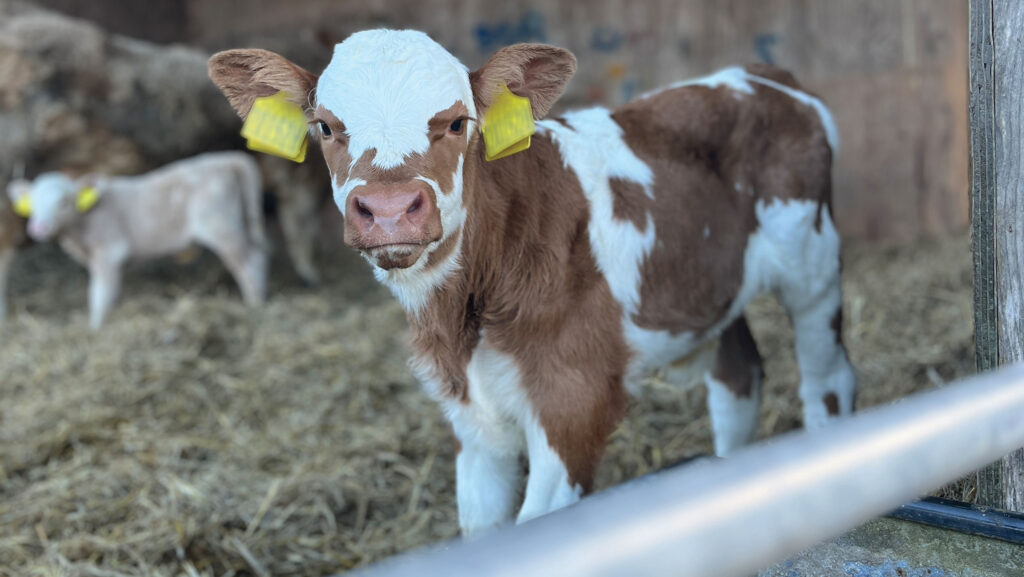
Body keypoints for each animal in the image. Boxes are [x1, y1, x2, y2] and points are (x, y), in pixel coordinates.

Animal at [7, 151, 268, 330]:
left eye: (63, 202)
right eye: (32, 204)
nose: (38, 228)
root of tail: (228, 159)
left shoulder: (109, 252)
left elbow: (99, 294)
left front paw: (96, 329)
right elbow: (110, 293)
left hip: (221, 227)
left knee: (248, 263)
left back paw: (255, 304)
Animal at [207, 30, 856, 537]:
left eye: (457, 122)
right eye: (324, 126)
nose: (390, 211)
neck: (466, 319)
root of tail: (757, 74)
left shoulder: (574, 399)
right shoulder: (469, 417)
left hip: (814, 272)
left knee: (828, 382)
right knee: (738, 377)